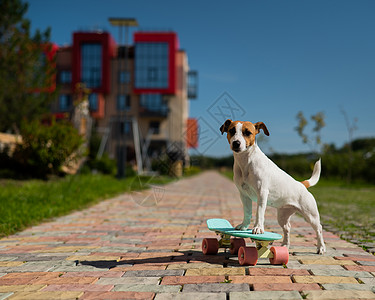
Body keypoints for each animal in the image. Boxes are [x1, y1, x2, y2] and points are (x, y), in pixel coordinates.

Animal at [220, 118, 326, 254]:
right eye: (232, 131)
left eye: (247, 132)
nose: (236, 143)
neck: (246, 162)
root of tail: (302, 184)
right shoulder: (244, 195)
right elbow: (247, 212)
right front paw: (244, 226)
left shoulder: (262, 193)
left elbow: (259, 212)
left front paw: (258, 228)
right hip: (282, 216)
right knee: (287, 228)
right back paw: (285, 245)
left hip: (311, 215)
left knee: (319, 229)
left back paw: (321, 247)